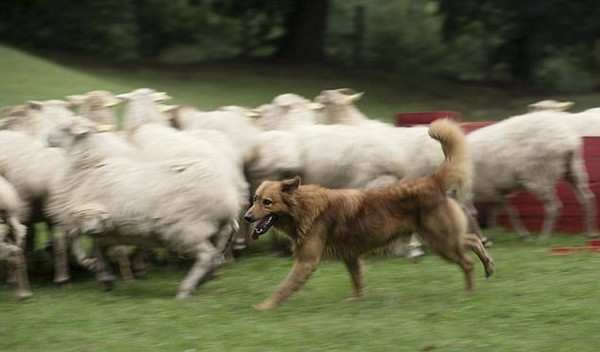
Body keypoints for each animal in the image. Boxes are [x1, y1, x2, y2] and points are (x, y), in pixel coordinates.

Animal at [243, 119, 492, 310]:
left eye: (267, 202)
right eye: (254, 199)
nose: (246, 217)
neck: (303, 207)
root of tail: (432, 181)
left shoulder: (306, 262)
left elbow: (283, 288)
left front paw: (264, 307)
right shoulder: (350, 256)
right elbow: (357, 281)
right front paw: (356, 301)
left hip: (440, 241)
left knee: (467, 262)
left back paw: (469, 292)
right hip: (442, 239)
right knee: (471, 239)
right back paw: (488, 265)